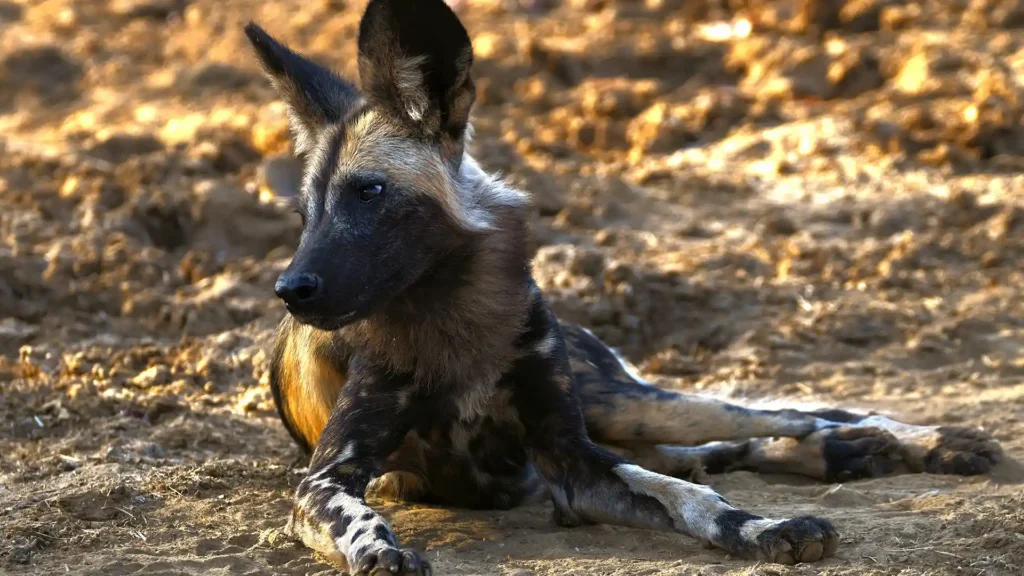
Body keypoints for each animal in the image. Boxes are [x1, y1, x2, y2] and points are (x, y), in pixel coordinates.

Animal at [245, 2, 999, 569]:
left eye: (369, 192)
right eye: (305, 214)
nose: (291, 289)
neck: (459, 317)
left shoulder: (574, 459)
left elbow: (693, 499)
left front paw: (763, 528)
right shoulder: (325, 481)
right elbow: (356, 515)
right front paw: (379, 550)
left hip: (629, 404)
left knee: (789, 416)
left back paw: (922, 442)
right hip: (629, 414)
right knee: (725, 448)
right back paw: (849, 456)